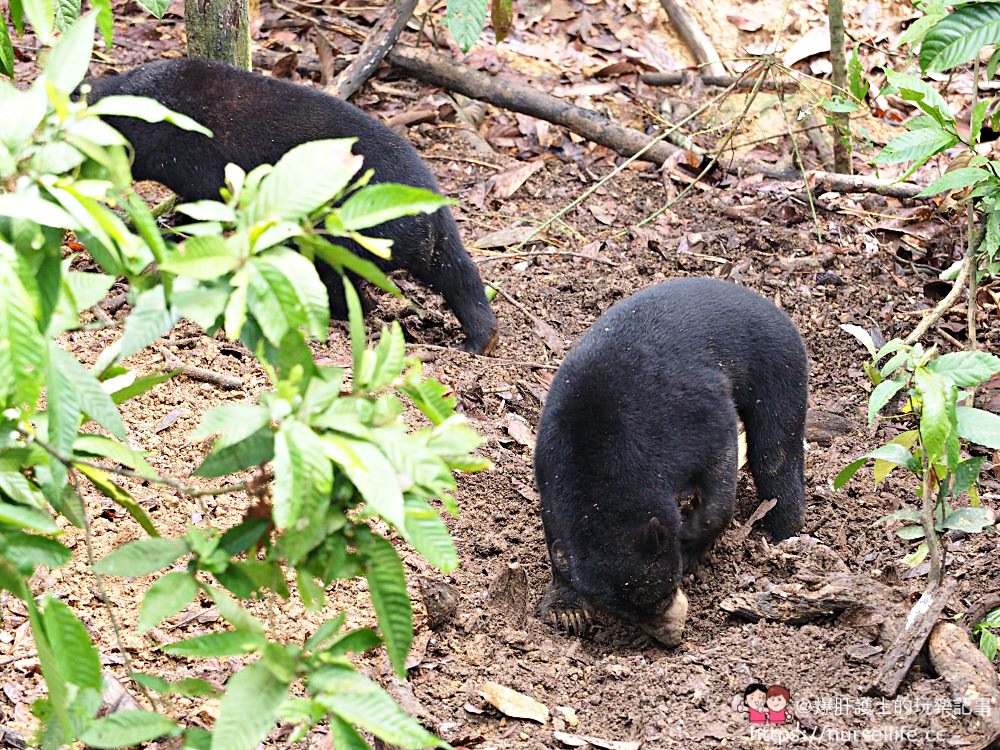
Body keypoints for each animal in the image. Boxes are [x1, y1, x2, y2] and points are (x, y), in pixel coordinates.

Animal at [82, 55, 500, 356]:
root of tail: (427, 212)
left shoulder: (201, 166)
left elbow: (202, 209)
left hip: (344, 234)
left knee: (346, 284)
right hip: (431, 241)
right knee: (459, 272)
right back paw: (480, 340)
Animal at [536, 280, 808, 648]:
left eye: (668, 590)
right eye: (630, 616)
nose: (673, 638)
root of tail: (767, 303)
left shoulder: (693, 416)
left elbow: (719, 475)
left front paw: (690, 540)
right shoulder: (549, 468)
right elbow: (557, 538)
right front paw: (566, 609)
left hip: (778, 366)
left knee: (775, 451)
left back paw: (786, 533)